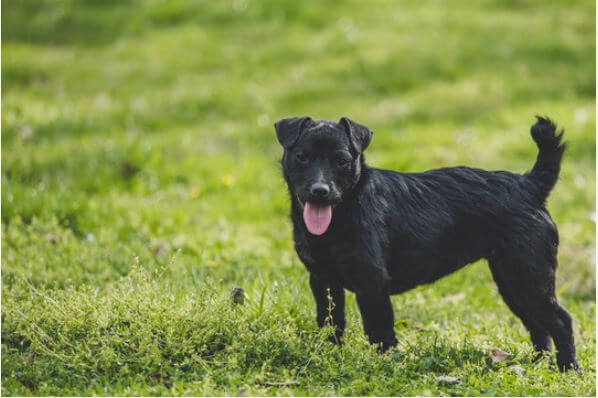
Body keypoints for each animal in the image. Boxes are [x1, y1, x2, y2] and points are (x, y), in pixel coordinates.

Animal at [276, 115, 580, 370]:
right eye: (302, 157)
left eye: (341, 160)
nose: (320, 191)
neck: (340, 217)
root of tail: (530, 185)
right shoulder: (323, 280)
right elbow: (330, 322)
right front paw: (328, 353)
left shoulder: (371, 284)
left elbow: (380, 331)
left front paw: (383, 364)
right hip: (514, 283)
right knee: (538, 325)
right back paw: (539, 363)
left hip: (528, 278)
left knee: (561, 321)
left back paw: (568, 369)